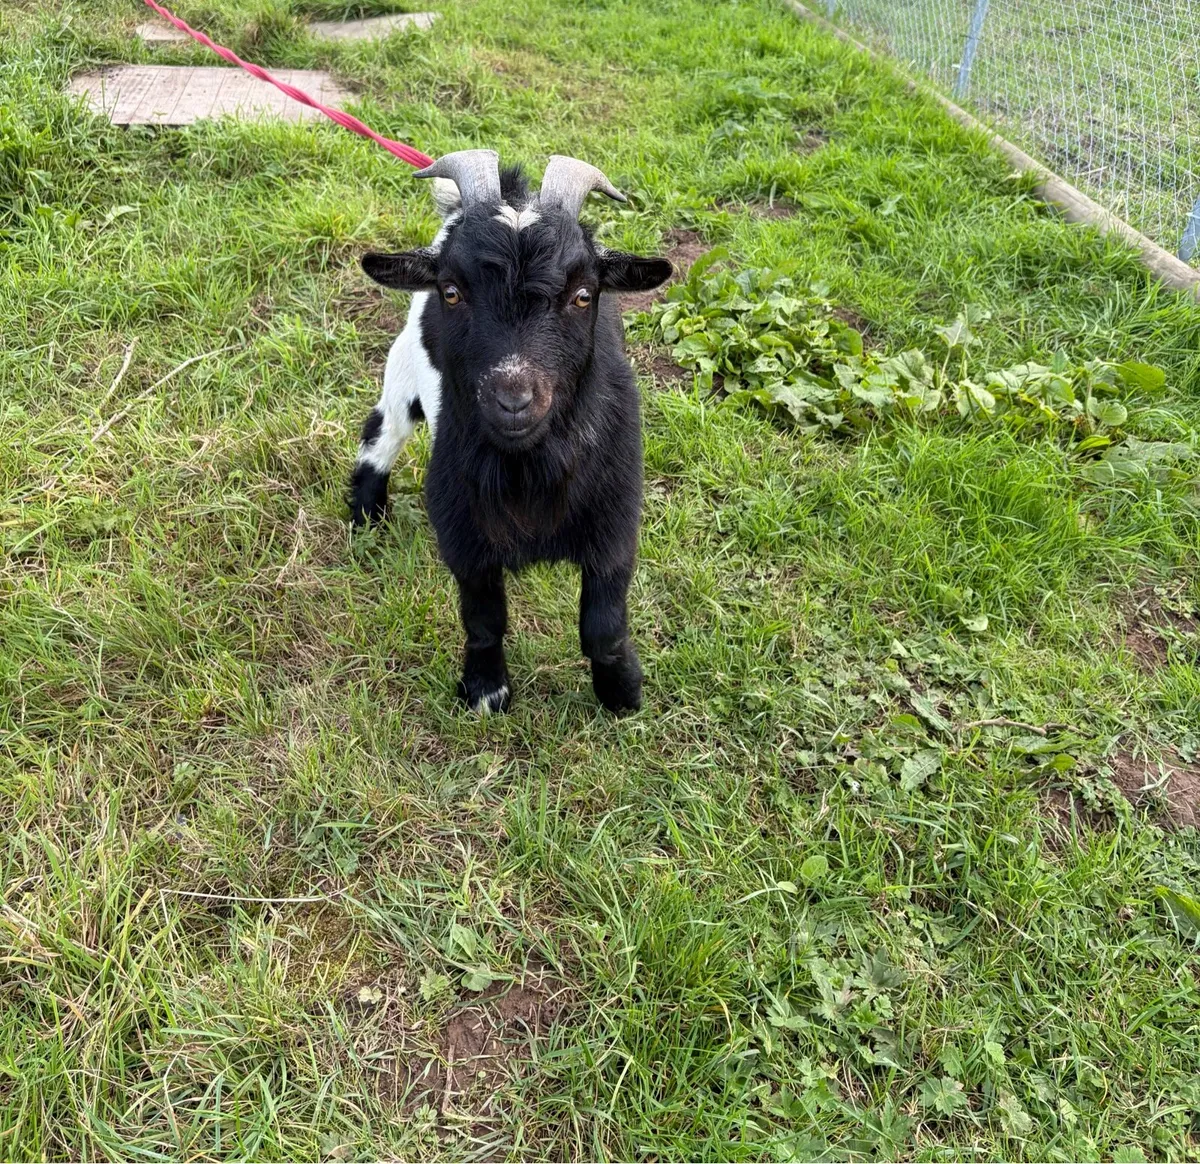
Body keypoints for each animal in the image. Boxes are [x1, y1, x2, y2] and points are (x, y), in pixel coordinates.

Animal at [350, 150, 671, 714]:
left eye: (584, 295)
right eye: (451, 292)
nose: (514, 399)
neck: (529, 468)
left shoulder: (616, 518)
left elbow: (603, 625)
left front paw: (621, 692)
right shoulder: (461, 527)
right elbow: (483, 618)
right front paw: (485, 689)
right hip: (403, 375)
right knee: (379, 435)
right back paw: (367, 515)